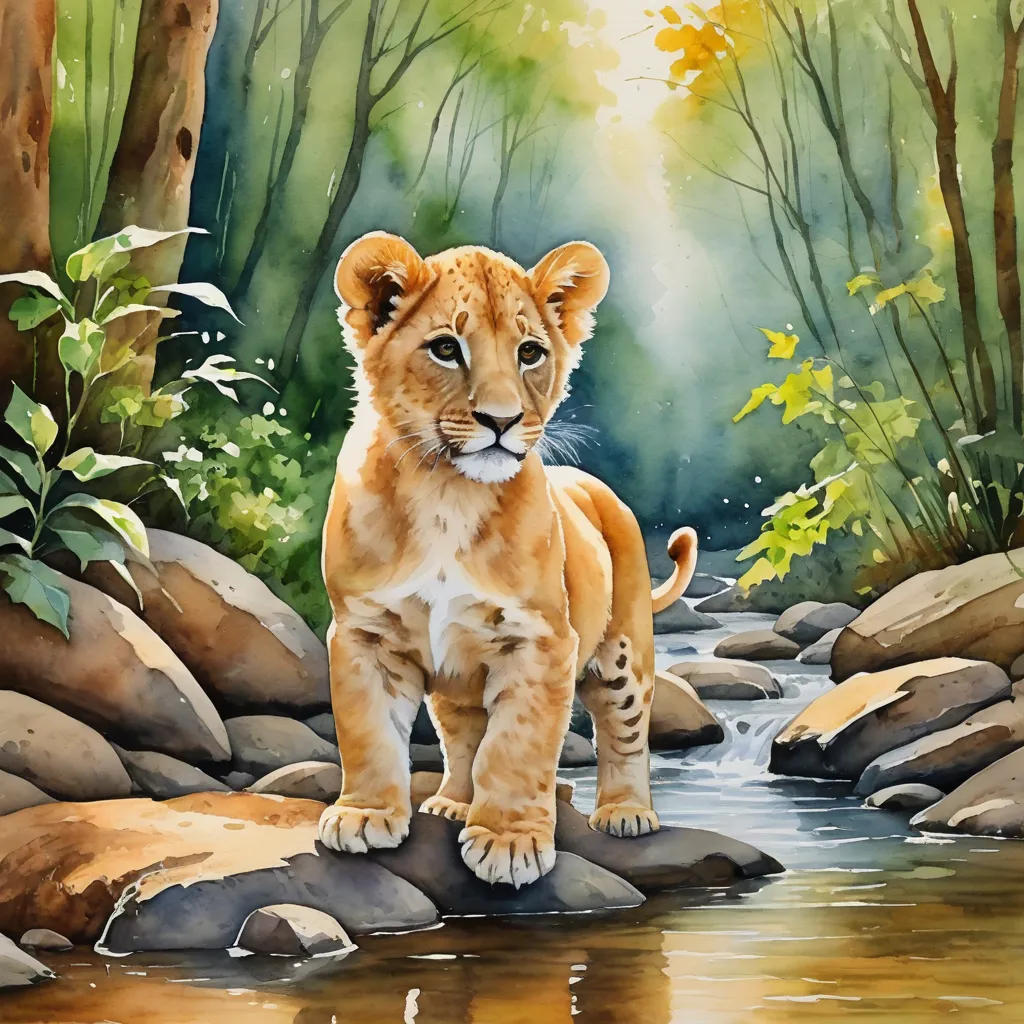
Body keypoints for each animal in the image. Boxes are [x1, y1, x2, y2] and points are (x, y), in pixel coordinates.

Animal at [317, 231, 697, 888]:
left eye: (530, 353)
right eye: (446, 348)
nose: (502, 420)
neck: (447, 493)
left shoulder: (541, 640)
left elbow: (517, 746)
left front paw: (509, 843)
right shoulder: (365, 632)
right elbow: (368, 730)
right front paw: (364, 815)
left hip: (623, 652)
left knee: (625, 731)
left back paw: (626, 813)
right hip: (455, 679)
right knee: (463, 735)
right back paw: (451, 802)